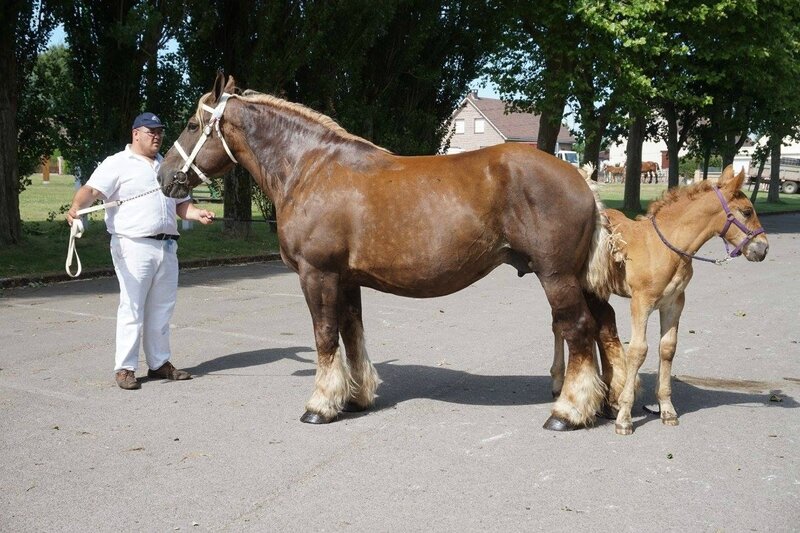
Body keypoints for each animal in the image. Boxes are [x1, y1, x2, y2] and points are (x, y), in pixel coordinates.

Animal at [158, 74, 620, 428]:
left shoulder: (317, 273)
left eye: (191, 124)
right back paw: (608, 402)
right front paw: (355, 397)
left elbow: (325, 335)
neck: (310, 169)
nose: (165, 177)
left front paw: (320, 404)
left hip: (557, 276)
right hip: (578, 278)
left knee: (578, 328)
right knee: (604, 326)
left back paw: (568, 411)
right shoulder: (345, 278)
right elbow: (351, 332)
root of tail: (581, 178)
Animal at [552, 165, 768, 432]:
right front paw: (624, 416)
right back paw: (560, 385)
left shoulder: (674, 303)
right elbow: (637, 351)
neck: (665, 248)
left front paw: (666, 409)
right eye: (747, 211)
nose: (763, 248)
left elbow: (667, 348)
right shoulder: (641, 303)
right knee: (559, 326)